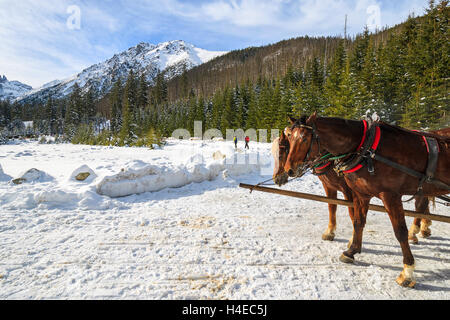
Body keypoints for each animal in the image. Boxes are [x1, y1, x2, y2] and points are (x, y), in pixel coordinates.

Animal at [284, 114, 450, 288]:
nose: (289, 169)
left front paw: (407, 272)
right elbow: (355, 220)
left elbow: (399, 232)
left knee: (419, 207)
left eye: (304, 138)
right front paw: (351, 251)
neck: (365, 149)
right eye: (289, 137)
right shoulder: (359, 193)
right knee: (421, 205)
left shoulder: (389, 195)